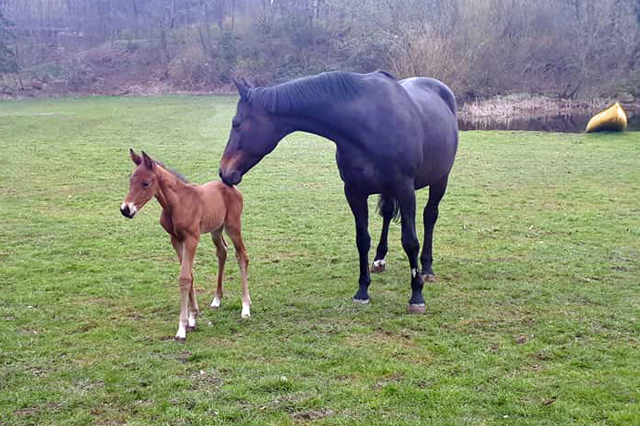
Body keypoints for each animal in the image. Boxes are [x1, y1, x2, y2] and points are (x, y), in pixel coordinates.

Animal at [120, 148, 250, 342]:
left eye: (146, 183)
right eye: (130, 180)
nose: (125, 209)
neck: (177, 203)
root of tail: (231, 187)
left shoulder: (191, 239)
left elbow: (184, 278)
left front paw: (181, 328)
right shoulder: (175, 239)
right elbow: (190, 275)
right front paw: (193, 317)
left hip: (233, 226)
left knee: (242, 255)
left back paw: (246, 308)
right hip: (216, 229)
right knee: (222, 252)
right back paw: (217, 299)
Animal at [221, 70, 460, 312]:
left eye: (236, 123)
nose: (223, 172)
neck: (369, 124)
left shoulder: (405, 190)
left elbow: (410, 241)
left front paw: (417, 295)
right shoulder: (354, 192)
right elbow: (362, 240)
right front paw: (362, 290)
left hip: (440, 179)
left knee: (430, 216)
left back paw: (427, 268)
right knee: (386, 215)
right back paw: (379, 259)